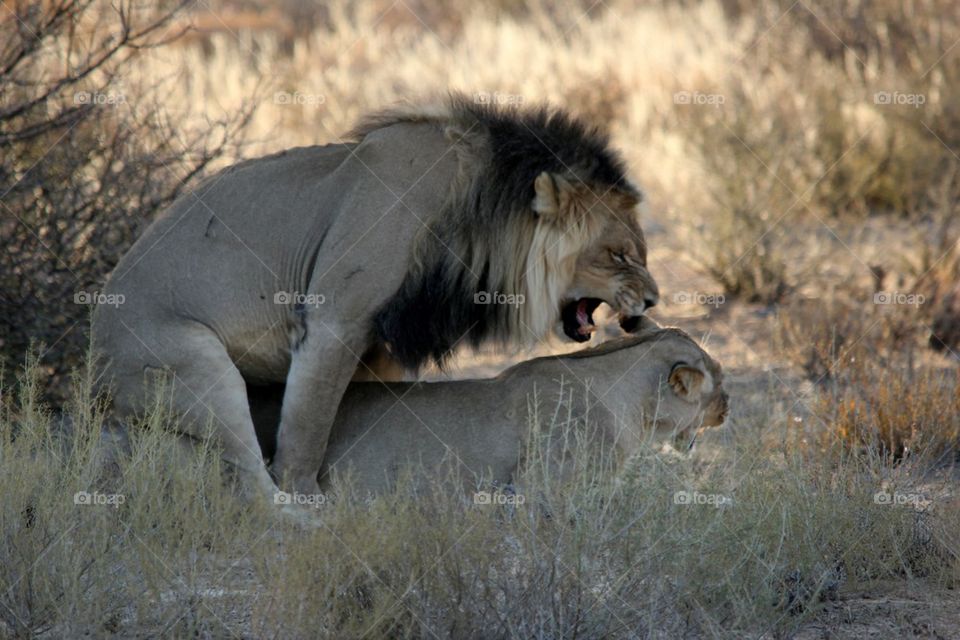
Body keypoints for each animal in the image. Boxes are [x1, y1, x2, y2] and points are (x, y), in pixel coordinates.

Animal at [91, 92, 660, 505]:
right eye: (620, 255)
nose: (654, 301)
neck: (474, 214)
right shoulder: (335, 324)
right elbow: (307, 428)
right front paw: (309, 493)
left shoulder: (379, 346)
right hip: (198, 370)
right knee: (252, 484)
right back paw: (304, 523)